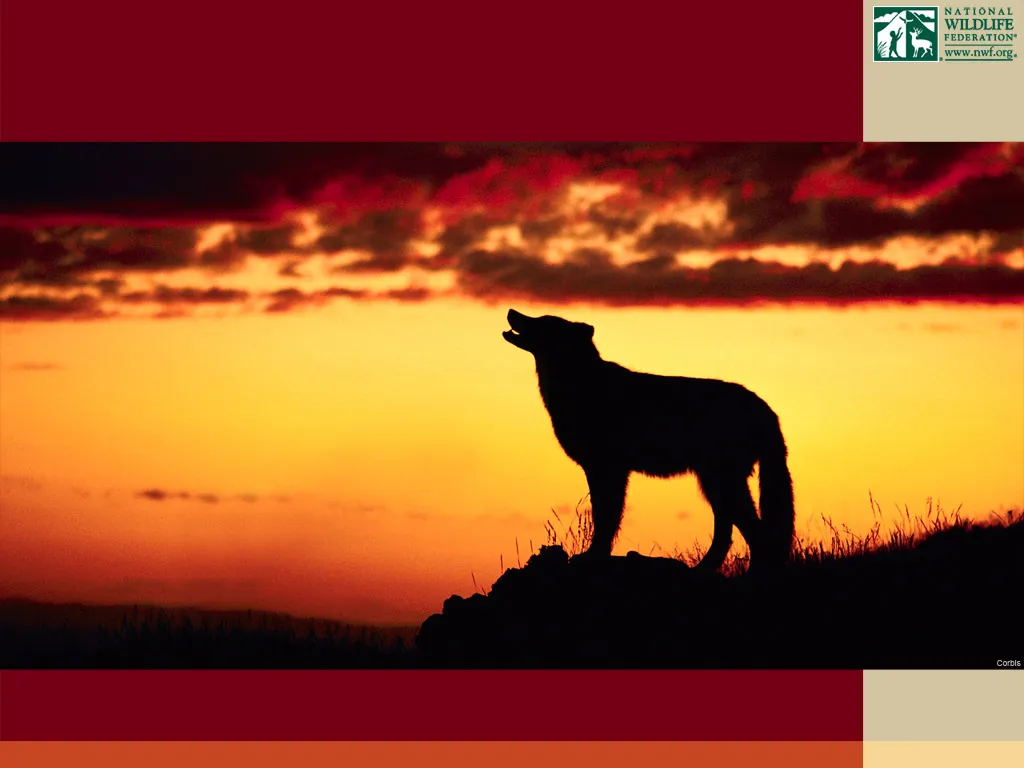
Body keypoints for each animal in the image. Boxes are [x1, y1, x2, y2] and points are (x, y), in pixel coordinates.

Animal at [502, 308, 795, 572]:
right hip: (715, 484)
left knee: (756, 532)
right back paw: (702, 569)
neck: (580, 385)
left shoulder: (607, 469)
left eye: (542, 321)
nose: (511, 311)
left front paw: (593, 556)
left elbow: (605, 517)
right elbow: (605, 516)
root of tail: (767, 410)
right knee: (731, 532)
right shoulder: (606, 470)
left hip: (721, 482)